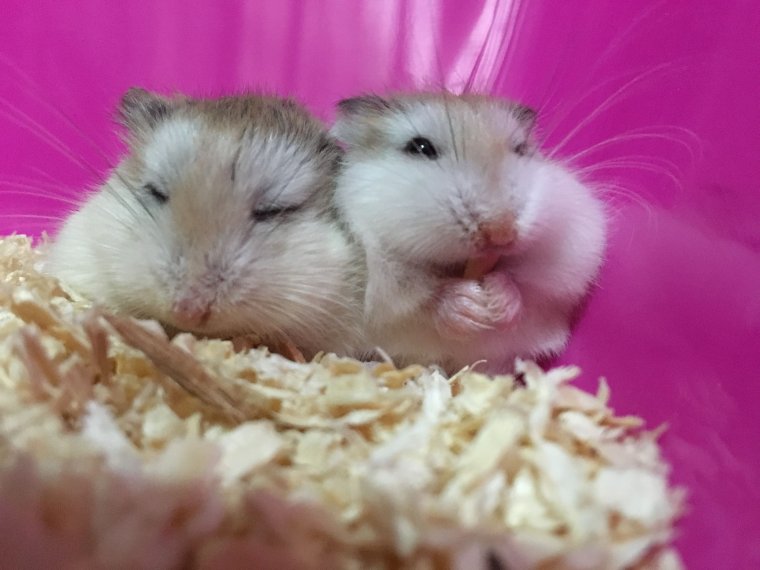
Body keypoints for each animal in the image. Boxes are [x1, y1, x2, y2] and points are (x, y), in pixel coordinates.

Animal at [332, 92, 607, 373]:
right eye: (420, 147)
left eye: (520, 149)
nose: (500, 233)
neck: (456, 266)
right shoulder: (388, 285)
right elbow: (421, 298)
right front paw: (468, 305)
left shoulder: (568, 265)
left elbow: (527, 289)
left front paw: (497, 299)